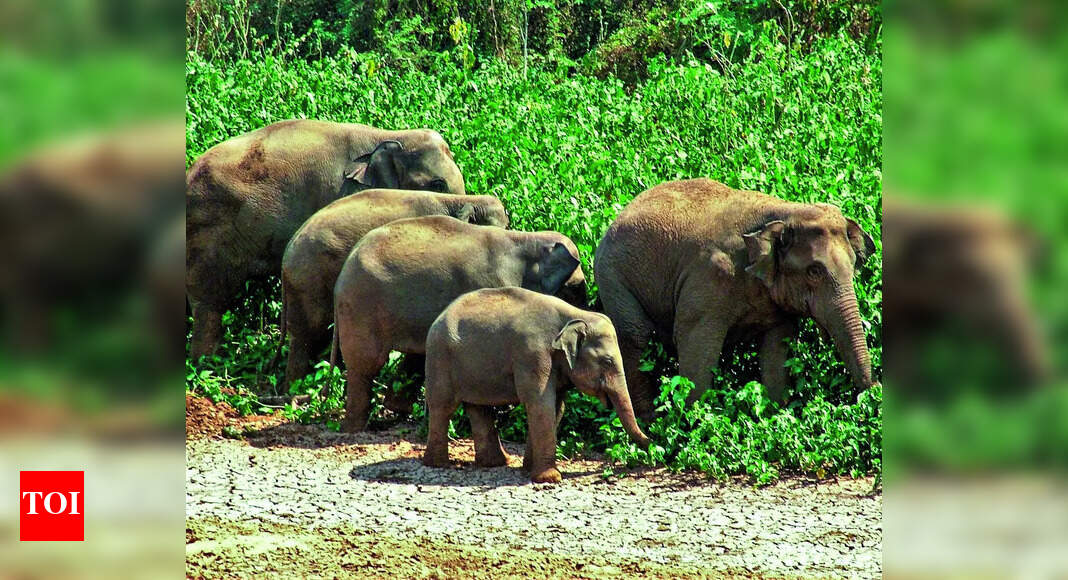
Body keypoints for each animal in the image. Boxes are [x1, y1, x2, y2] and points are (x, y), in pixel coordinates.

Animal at [333, 215, 588, 432]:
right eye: (575, 289)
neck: (525, 240)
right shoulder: (491, 283)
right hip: (360, 305)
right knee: (366, 364)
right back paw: (355, 428)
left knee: (415, 355)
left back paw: (397, 412)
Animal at [423, 287, 651, 483]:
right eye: (607, 361)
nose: (653, 443)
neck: (574, 315)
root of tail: (439, 317)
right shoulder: (532, 354)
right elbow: (541, 403)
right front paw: (550, 478)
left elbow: (557, 407)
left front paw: (528, 469)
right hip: (439, 358)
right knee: (443, 406)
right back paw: (439, 464)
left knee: (479, 408)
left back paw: (496, 463)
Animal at [594, 178, 877, 418]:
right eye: (814, 271)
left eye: (855, 265)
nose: (871, 394)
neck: (785, 212)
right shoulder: (710, 278)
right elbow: (694, 343)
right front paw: (694, 423)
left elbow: (776, 352)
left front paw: (776, 413)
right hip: (613, 278)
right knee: (636, 336)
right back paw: (650, 423)